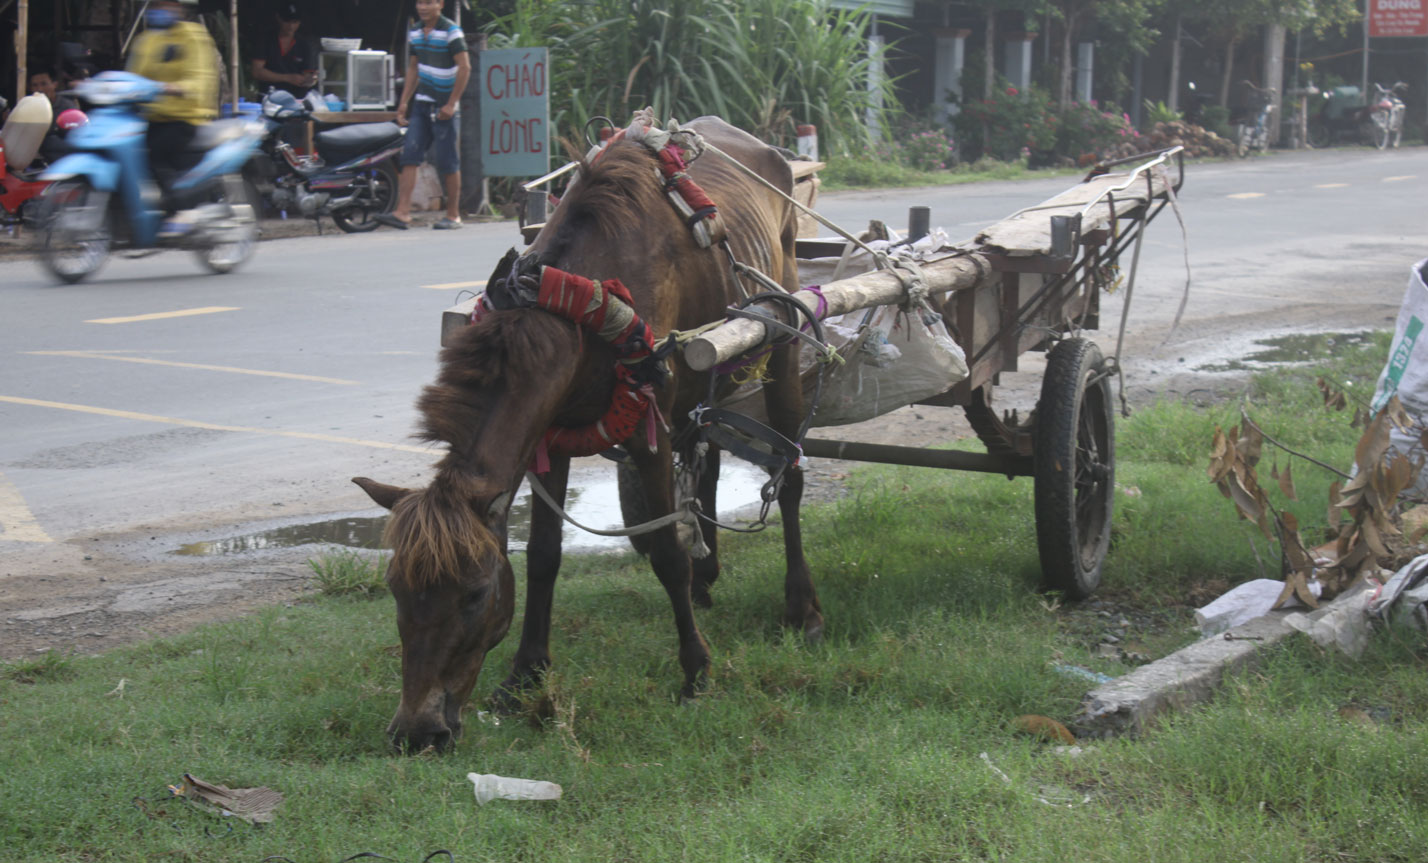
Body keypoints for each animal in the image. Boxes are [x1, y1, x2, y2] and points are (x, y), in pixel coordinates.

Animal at [355, 117, 822, 754]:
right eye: (396, 588)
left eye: (474, 593)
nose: (418, 732)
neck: (578, 310)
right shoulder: (550, 435)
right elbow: (543, 555)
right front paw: (525, 672)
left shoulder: (649, 426)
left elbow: (664, 553)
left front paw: (696, 669)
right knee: (707, 462)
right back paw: (707, 579)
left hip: (783, 338)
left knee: (788, 474)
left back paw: (802, 606)